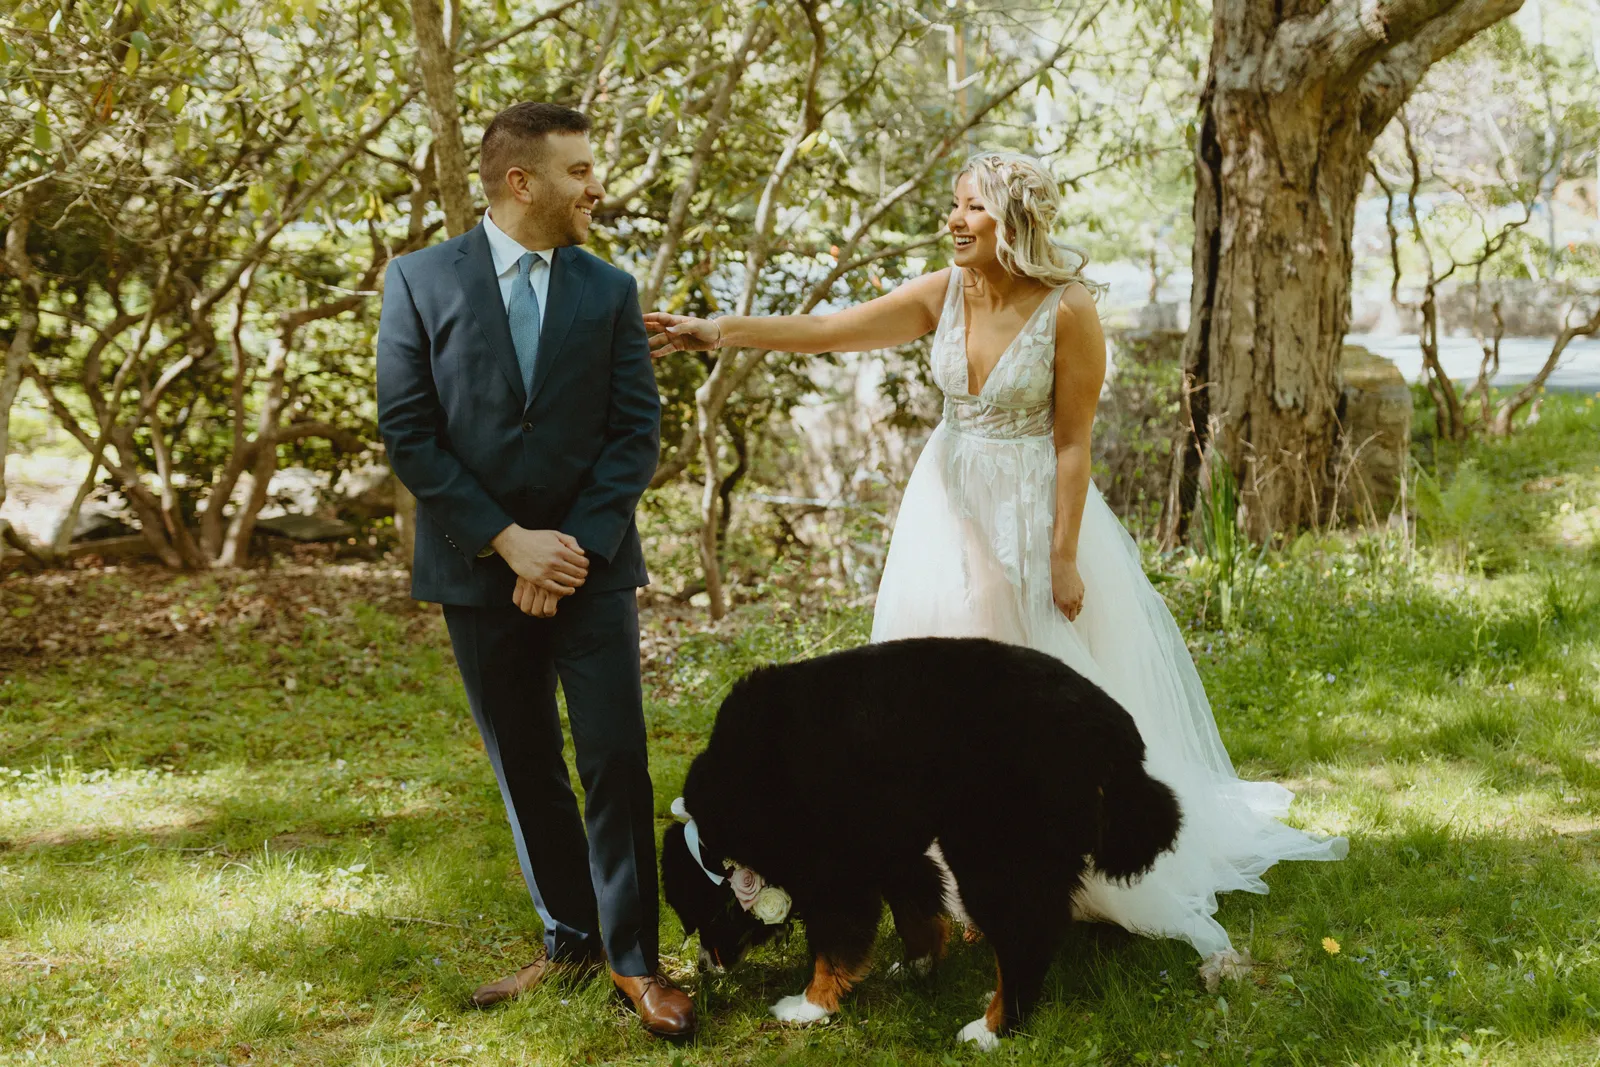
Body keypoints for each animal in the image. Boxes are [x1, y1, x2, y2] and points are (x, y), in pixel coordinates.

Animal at [656, 639, 1184, 1049]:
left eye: (706, 916)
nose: (703, 968)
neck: (744, 793)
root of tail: (1109, 726)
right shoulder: (886, 843)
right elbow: (916, 907)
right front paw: (918, 964)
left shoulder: (836, 867)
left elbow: (834, 941)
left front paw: (810, 1004)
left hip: (993, 851)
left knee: (1025, 935)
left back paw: (993, 1029)